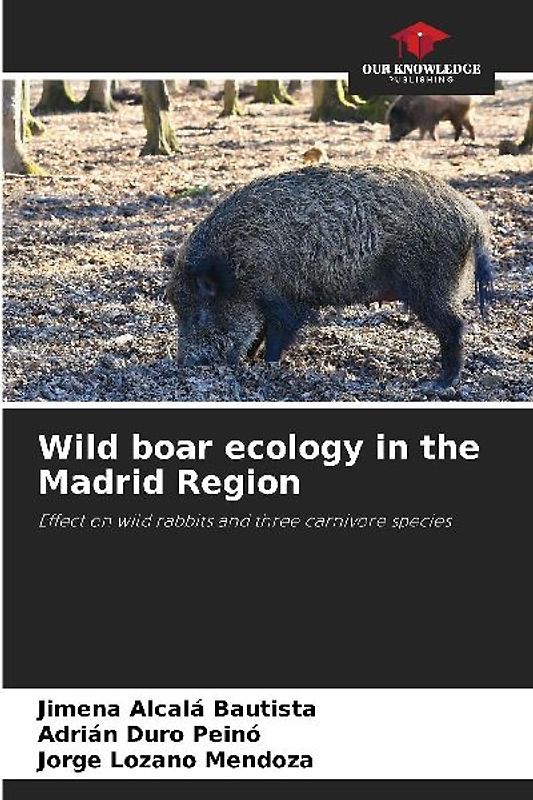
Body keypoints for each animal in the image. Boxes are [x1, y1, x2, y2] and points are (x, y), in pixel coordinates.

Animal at [166, 165, 492, 388]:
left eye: (198, 314)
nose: (183, 364)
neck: (236, 265)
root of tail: (473, 217)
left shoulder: (286, 297)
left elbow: (277, 334)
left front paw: (267, 366)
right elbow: (257, 333)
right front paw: (250, 361)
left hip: (429, 284)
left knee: (455, 325)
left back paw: (439, 383)